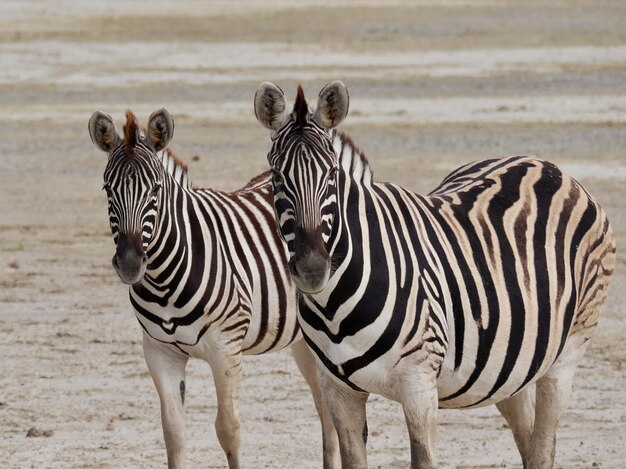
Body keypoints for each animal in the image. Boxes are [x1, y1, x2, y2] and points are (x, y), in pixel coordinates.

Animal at [88, 109, 338, 468]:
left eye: (155, 190)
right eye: (108, 189)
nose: (130, 263)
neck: (164, 280)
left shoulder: (225, 350)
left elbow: (228, 429)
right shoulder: (159, 352)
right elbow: (174, 432)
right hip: (303, 341)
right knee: (325, 407)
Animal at [252, 82, 616, 466]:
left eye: (333, 174)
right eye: (276, 177)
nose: (312, 269)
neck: (333, 307)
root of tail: (548, 166)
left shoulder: (419, 382)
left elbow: (423, 457)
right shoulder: (337, 389)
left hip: (569, 349)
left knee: (544, 445)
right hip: (511, 363)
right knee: (528, 439)